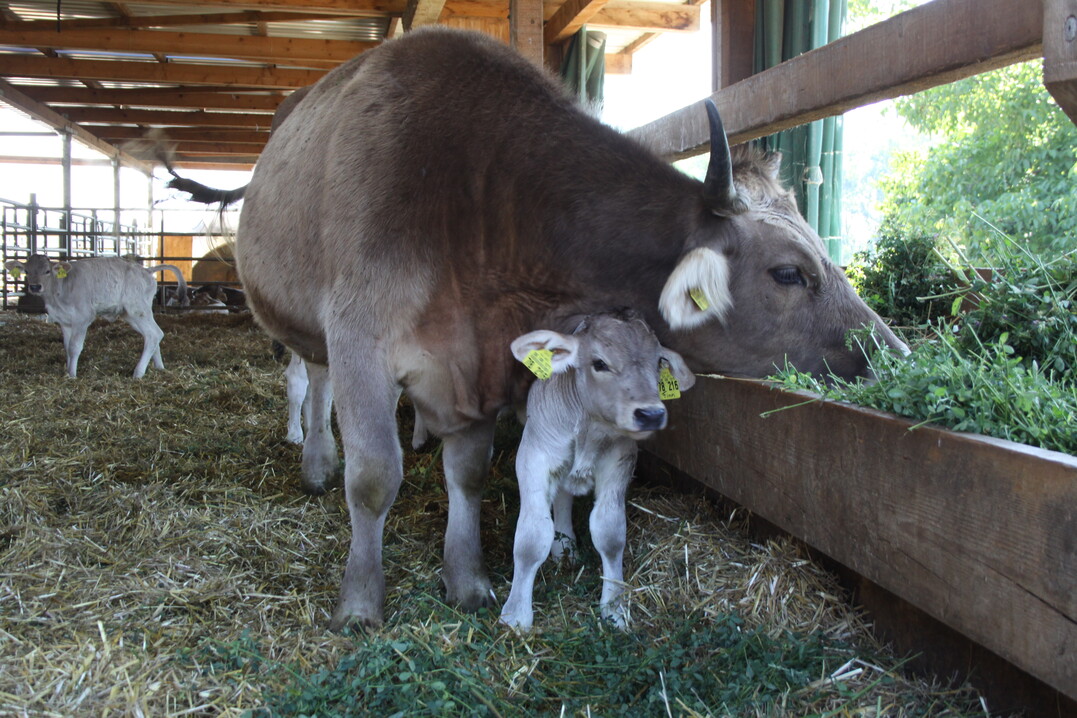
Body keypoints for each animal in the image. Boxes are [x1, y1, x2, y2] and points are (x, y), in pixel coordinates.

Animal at [4, 254, 188, 378]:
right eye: (27, 271)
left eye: (47, 271)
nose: (35, 286)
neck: (60, 288)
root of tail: (147, 269)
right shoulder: (64, 321)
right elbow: (66, 347)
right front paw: (68, 371)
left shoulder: (83, 318)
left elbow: (74, 347)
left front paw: (72, 375)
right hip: (134, 313)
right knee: (153, 335)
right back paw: (159, 367)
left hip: (137, 310)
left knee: (154, 334)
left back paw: (138, 373)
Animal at [500, 310, 695, 631]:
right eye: (600, 363)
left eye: (658, 362)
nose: (651, 414)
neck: (589, 429)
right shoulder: (534, 456)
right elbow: (531, 538)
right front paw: (515, 615)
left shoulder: (620, 459)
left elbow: (609, 532)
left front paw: (615, 607)